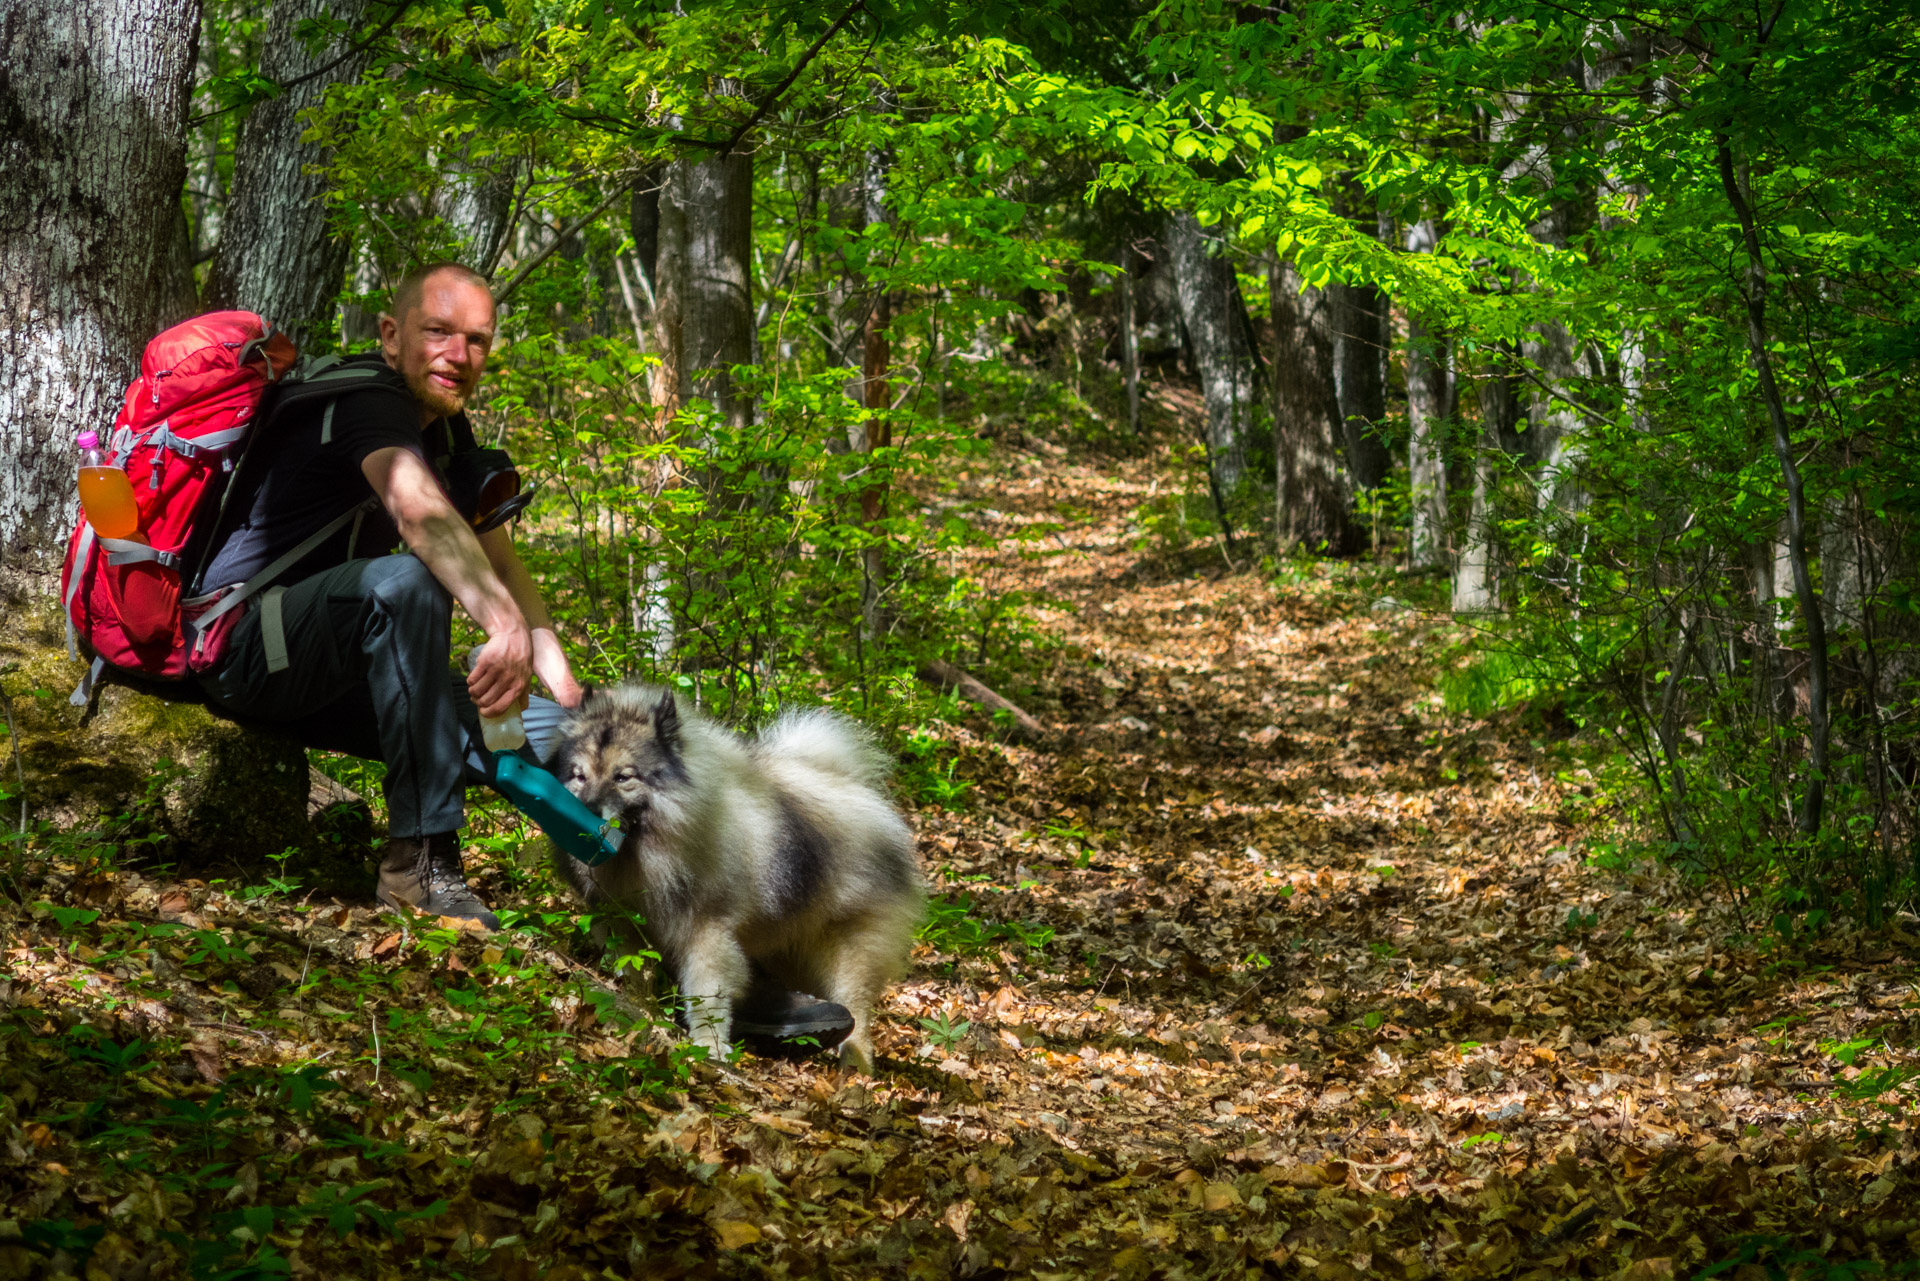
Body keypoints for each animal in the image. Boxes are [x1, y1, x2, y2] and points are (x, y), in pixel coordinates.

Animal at [545, 679, 925, 1075]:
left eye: (623, 777)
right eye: (579, 775)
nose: (583, 810)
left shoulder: (707, 932)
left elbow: (707, 994)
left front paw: (709, 1047)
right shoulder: (622, 922)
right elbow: (632, 969)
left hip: (850, 948)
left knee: (858, 1010)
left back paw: (855, 1068)